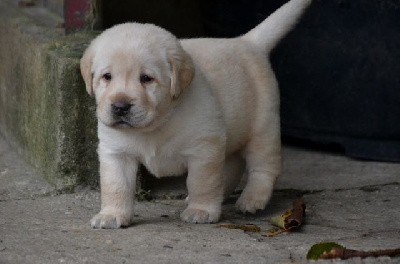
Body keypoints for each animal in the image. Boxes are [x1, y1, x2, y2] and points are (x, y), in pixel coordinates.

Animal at [81, 0, 312, 228]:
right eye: (107, 76)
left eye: (146, 78)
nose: (120, 106)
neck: (158, 122)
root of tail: (247, 42)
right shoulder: (116, 152)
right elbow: (116, 186)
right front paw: (112, 214)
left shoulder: (204, 148)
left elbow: (203, 182)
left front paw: (202, 210)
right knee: (233, 166)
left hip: (263, 128)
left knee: (263, 168)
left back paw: (252, 199)